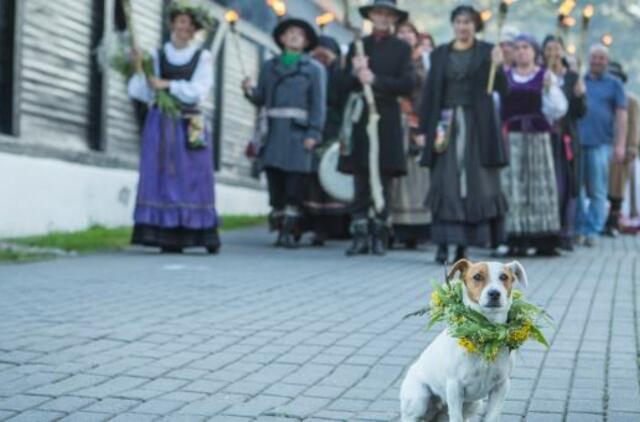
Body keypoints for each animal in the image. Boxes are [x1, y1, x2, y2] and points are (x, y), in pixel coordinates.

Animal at [400, 258, 528, 422]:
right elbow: (456, 417)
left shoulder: (501, 387)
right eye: (477, 276)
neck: (486, 332)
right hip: (419, 399)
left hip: (474, 405)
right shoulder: (455, 387)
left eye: (504, 277)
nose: (494, 293)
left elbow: (492, 416)